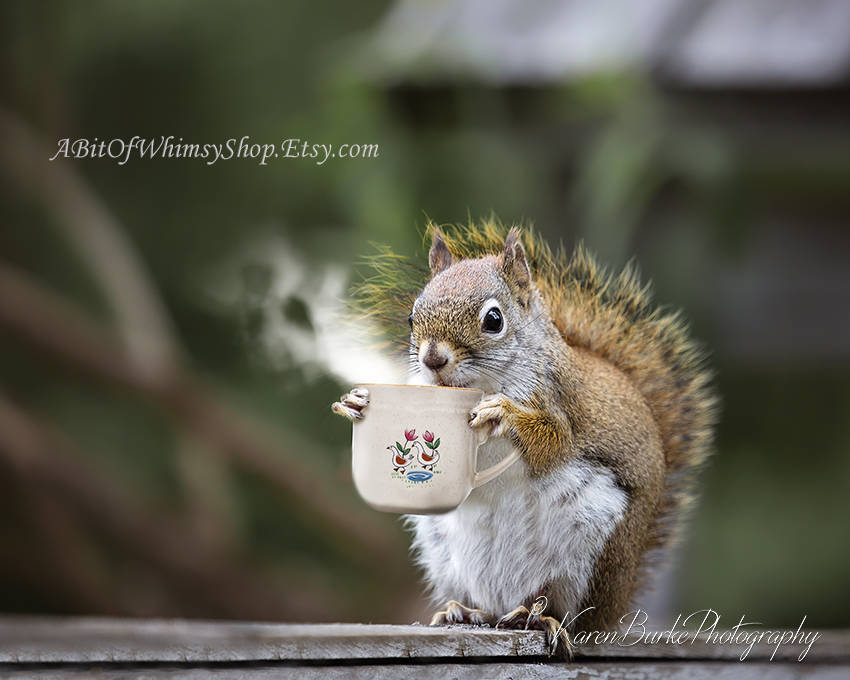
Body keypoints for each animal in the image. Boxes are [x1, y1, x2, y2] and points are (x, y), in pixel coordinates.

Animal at [332, 220, 716, 656]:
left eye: (493, 320)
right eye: (412, 318)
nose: (432, 359)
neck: (478, 385)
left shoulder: (560, 403)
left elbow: (552, 442)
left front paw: (503, 414)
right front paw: (357, 402)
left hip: (592, 556)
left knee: (569, 613)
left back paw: (537, 617)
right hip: (444, 554)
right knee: (488, 605)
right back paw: (466, 612)